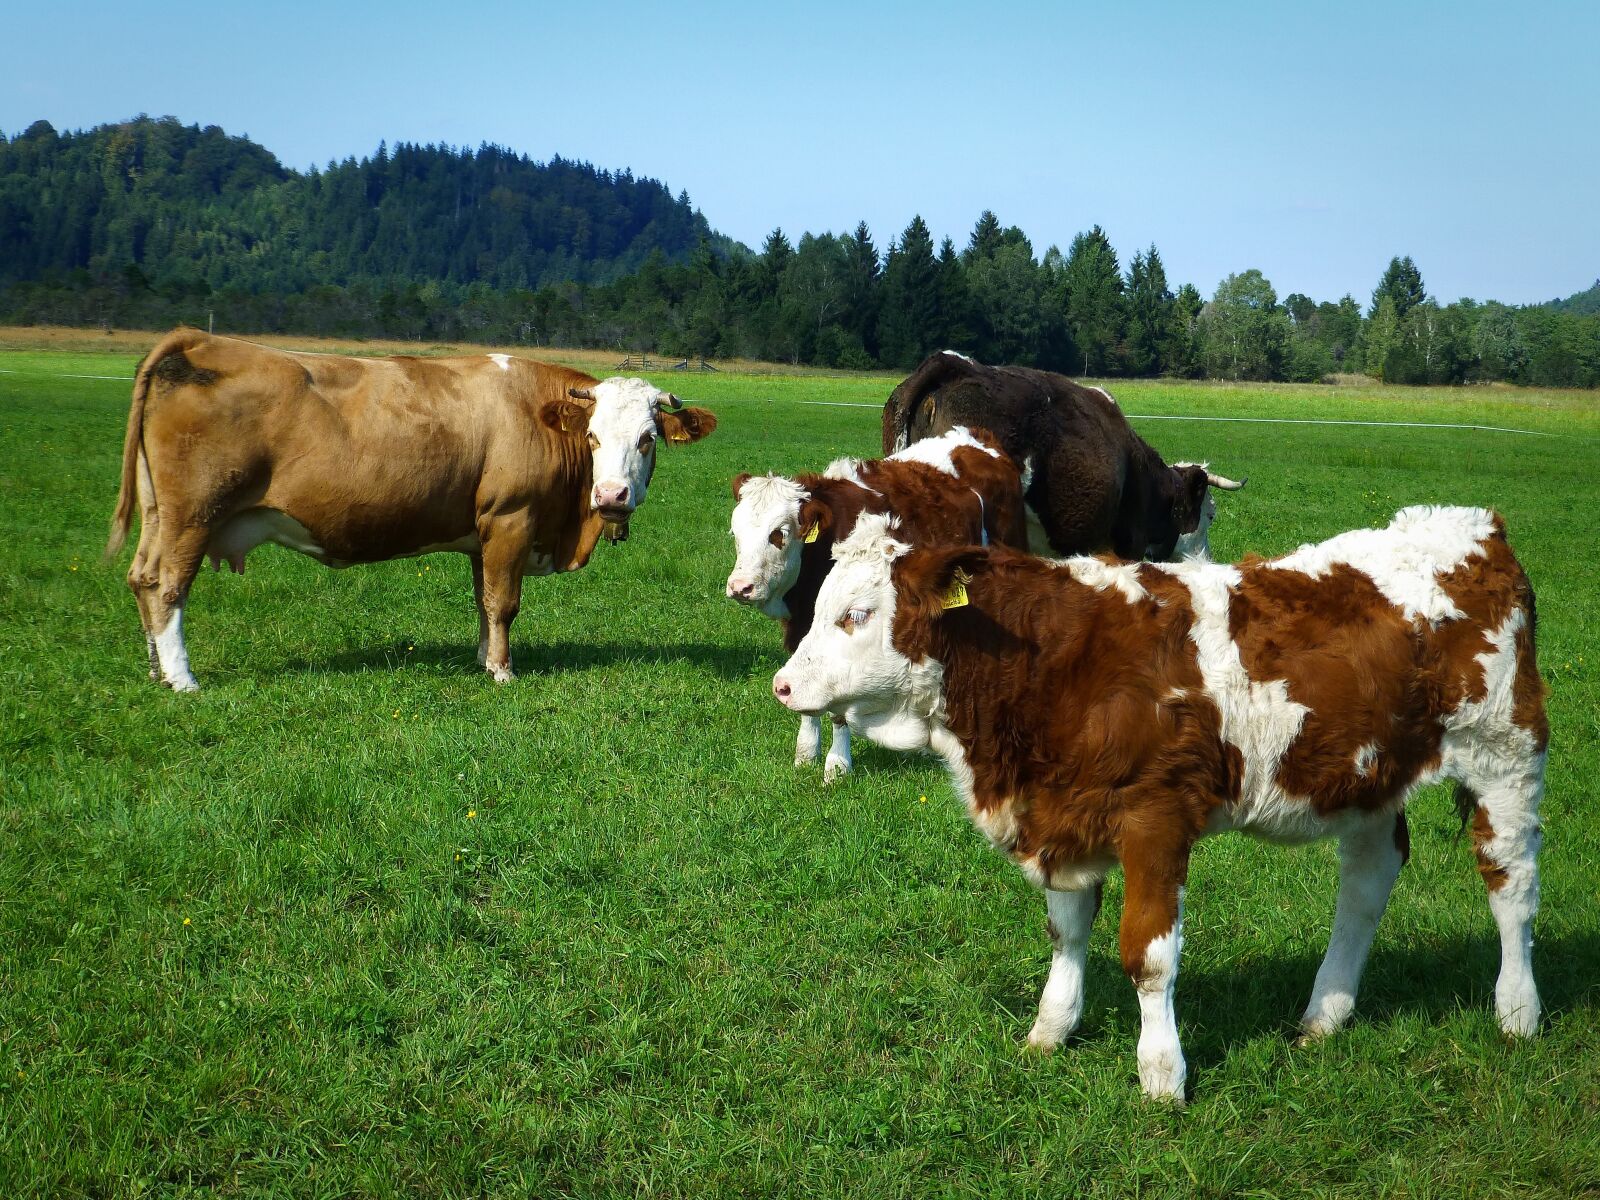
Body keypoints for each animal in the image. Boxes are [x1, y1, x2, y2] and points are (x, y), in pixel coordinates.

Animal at [106, 329, 720, 691]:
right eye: (592, 437)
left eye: (647, 439)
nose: (611, 496)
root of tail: (200, 341)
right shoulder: (512, 518)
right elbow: (504, 603)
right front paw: (503, 672)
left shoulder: (483, 532)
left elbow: (482, 600)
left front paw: (483, 658)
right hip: (194, 514)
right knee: (168, 585)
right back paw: (182, 679)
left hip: (161, 515)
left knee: (141, 579)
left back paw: (156, 668)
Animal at [726, 428, 1024, 784]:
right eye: (735, 533)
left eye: (778, 534)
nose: (740, 587)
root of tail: (975, 436)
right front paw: (806, 754)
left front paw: (837, 766)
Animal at [774, 505, 1548, 1100]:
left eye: (857, 615)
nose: (782, 686)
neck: (1050, 665)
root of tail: (1474, 526)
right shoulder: (1061, 815)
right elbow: (1066, 933)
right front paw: (1050, 1030)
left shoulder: (1156, 818)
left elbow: (1147, 954)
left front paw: (1162, 1074)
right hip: (1368, 774)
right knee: (1366, 882)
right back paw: (1324, 1014)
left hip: (1505, 753)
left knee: (1511, 887)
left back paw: (1517, 1012)